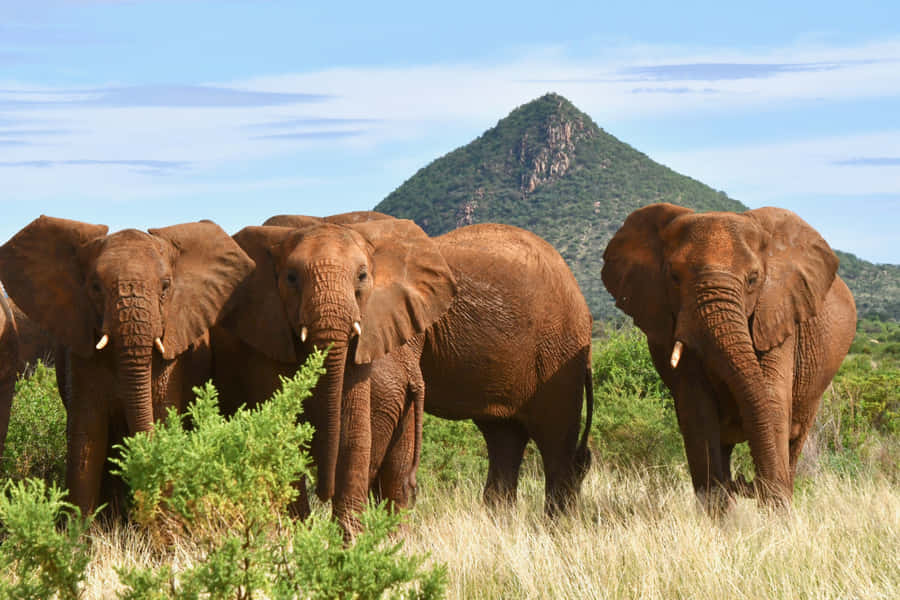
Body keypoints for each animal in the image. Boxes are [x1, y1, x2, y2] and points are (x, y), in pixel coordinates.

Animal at [0, 216, 255, 517]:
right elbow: (88, 437)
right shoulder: (81, 353)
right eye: (95, 287)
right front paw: (78, 530)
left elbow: (160, 417)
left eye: (166, 286)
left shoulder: (171, 359)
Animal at [210, 217, 456, 533]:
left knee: (395, 481)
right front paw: (297, 536)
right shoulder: (265, 338)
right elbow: (281, 432)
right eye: (291, 278)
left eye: (362, 276)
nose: (323, 492)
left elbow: (354, 434)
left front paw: (346, 542)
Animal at [601, 203, 857, 510]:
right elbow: (698, 411)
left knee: (796, 439)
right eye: (674, 277)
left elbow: (773, 400)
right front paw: (721, 514)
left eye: (753, 279)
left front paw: (776, 514)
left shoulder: (777, 312)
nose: (745, 483)